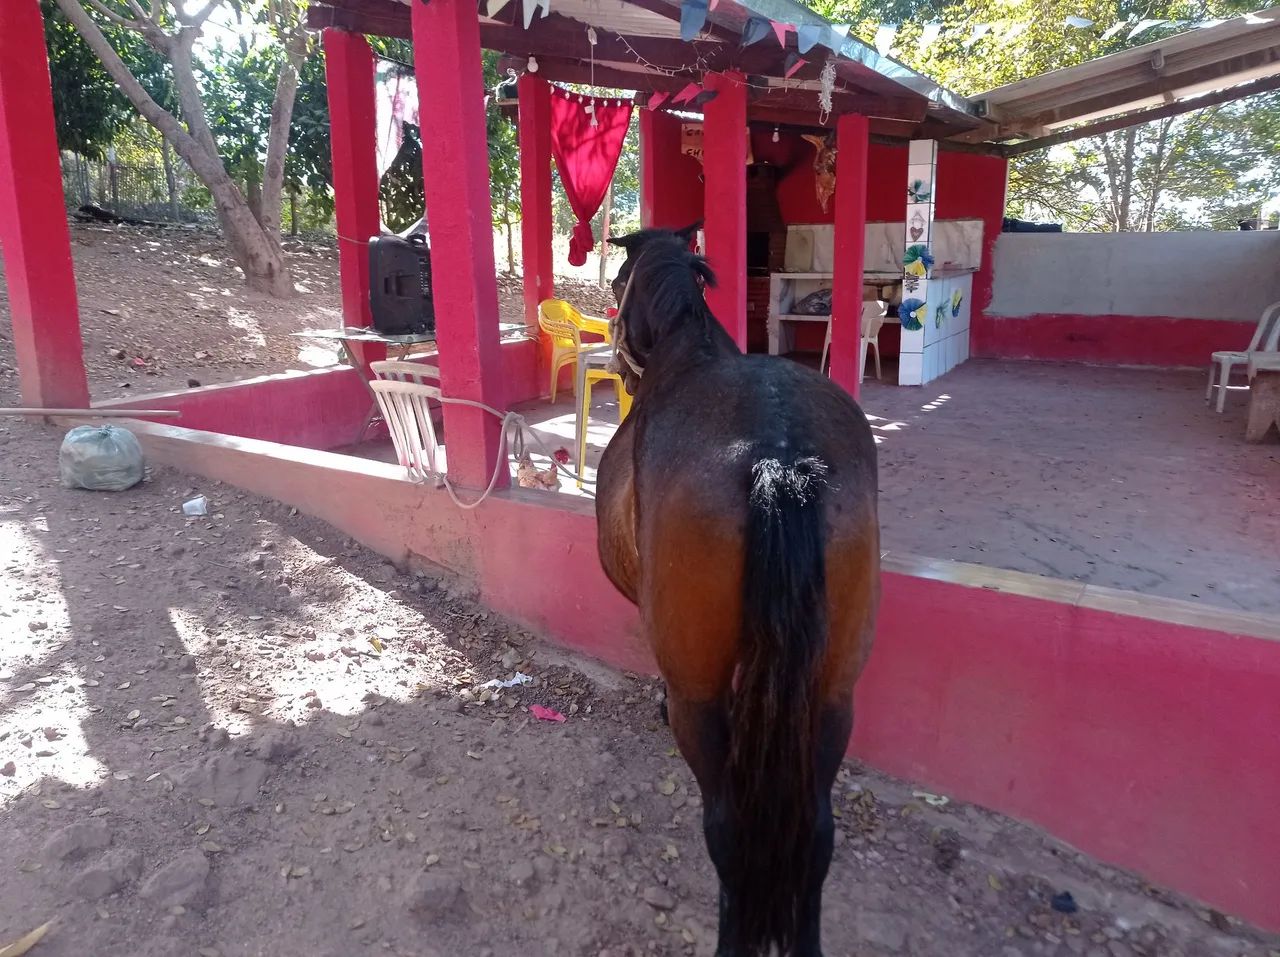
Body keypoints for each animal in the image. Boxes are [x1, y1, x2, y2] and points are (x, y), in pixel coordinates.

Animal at [595, 223, 881, 956]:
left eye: (617, 282)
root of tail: (777, 456)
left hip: (701, 698)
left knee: (724, 827)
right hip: (832, 695)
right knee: (817, 830)